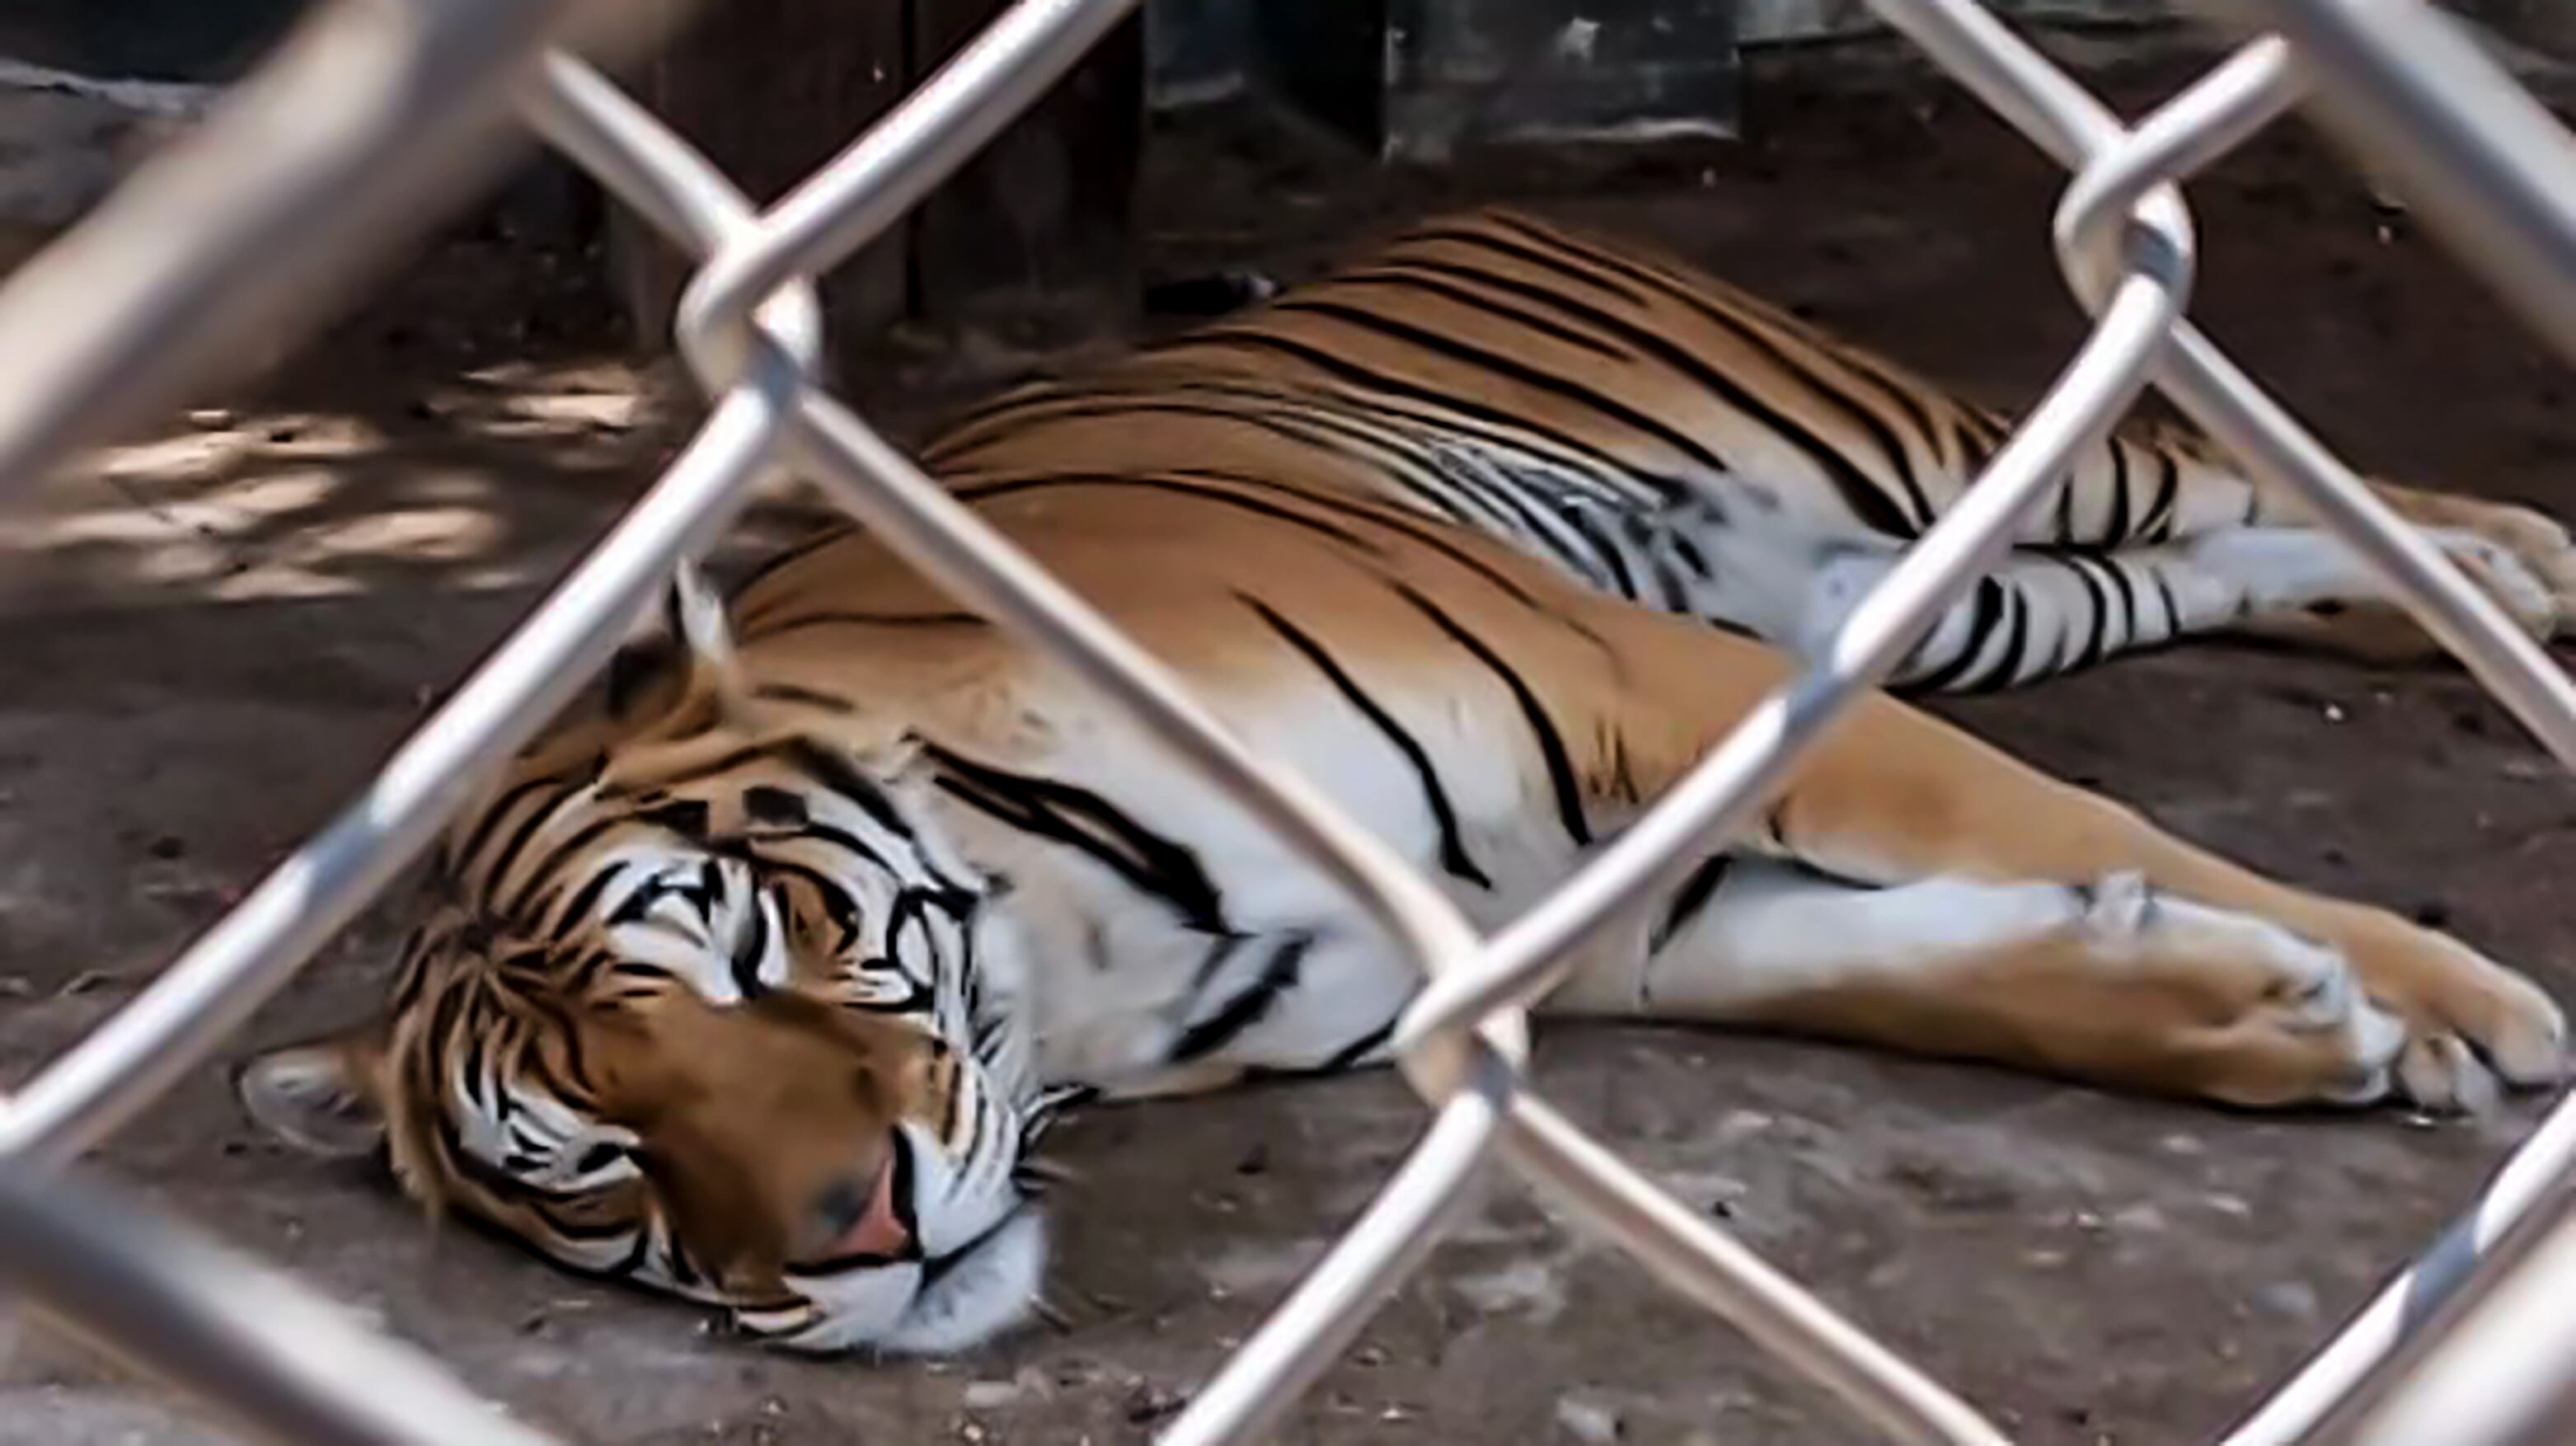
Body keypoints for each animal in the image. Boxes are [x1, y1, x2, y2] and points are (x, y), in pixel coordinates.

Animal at [237, 203, 2576, 1350]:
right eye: (595, 1167)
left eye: (739, 953)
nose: (858, 1234)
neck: (1078, 966)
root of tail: (1446, 216)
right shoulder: (1619, 917)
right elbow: (1951, 971)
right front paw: (2272, 1020)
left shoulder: (1665, 692)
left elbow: (2071, 832)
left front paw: (2454, 1004)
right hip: (1953, 587)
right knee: (2210, 558)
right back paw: (2483, 585)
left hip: (1907, 457)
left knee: (2214, 448)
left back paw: (2513, 553)